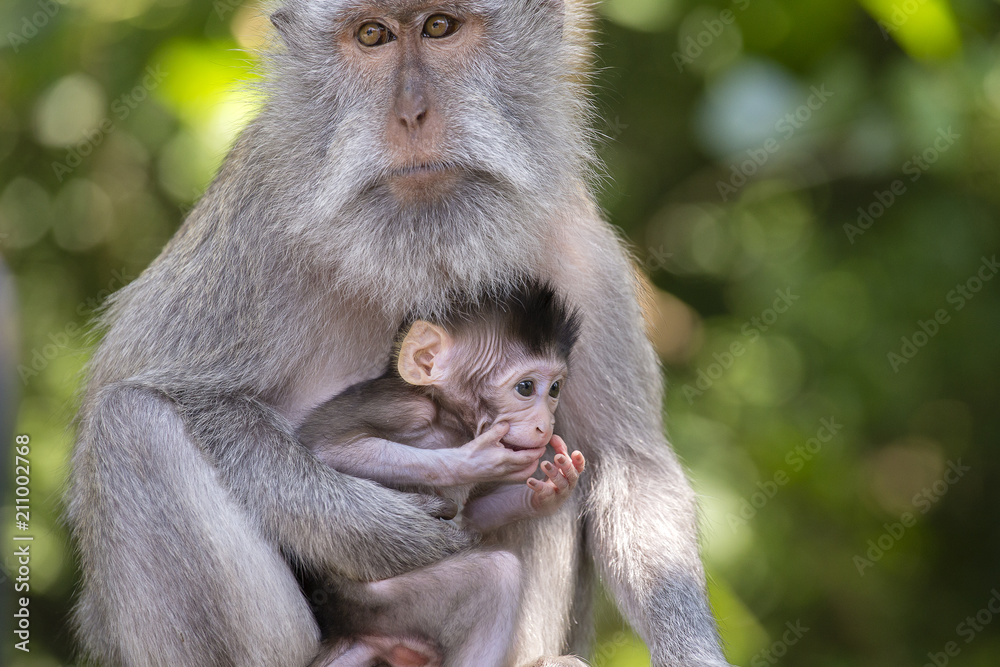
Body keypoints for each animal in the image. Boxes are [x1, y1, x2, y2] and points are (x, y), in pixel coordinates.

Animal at [300, 282, 588, 667]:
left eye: (554, 389)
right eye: (526, 388)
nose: (546, 425)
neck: (450, 419)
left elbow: (473, 517)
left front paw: (550, 490)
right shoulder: (403, 407)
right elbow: (324, 447)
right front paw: (477, 459)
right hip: (381, 605)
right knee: (497, 576)